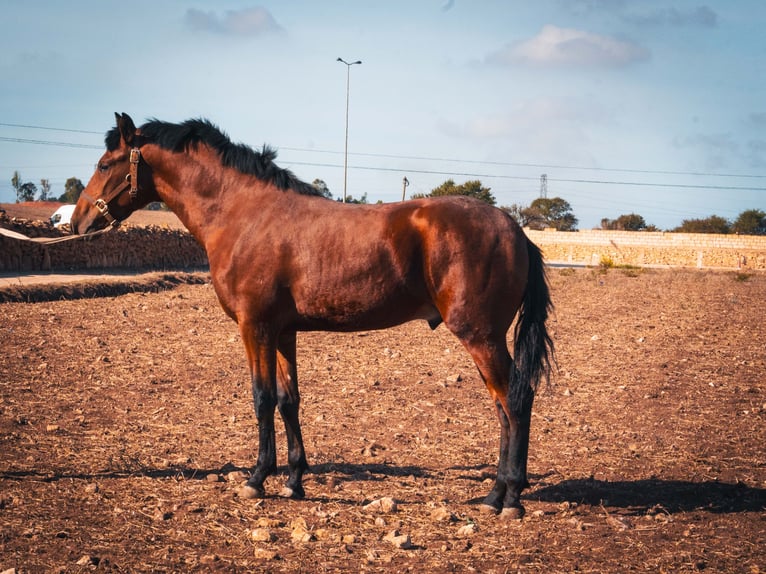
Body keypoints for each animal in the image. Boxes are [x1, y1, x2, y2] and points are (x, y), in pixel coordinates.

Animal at [75, 112, 556, 520]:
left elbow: (261, 398)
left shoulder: (256, 328)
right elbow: (289, 400)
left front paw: (256, 479)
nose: (76, 222)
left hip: (480, 336)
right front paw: (293, 481)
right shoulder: (284, 332)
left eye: (104, 163)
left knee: (515, 401)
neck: (243, 213)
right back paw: (494, 494)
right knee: (502, 407)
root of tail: (514, 230)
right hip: (483, 339)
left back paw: (511, 499)